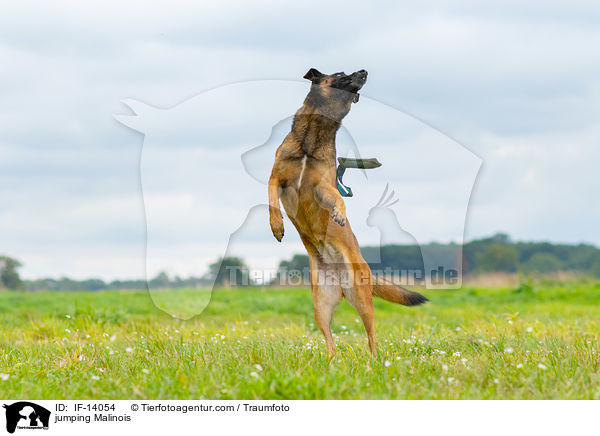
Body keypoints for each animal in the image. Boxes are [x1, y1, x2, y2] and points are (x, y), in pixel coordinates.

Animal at [268, 68, 426, 354]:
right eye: (340, 74)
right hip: (320, 305)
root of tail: (340, 276)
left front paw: (339, 215)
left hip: (362, 299)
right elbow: (271, 201)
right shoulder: (276, 179)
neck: (313, 136)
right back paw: (332, 360)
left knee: (372, 337)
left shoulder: (323, 187)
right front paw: (277, 225)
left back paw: (374, 360)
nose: (364, 71)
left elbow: (340, 200)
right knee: (330, 341)